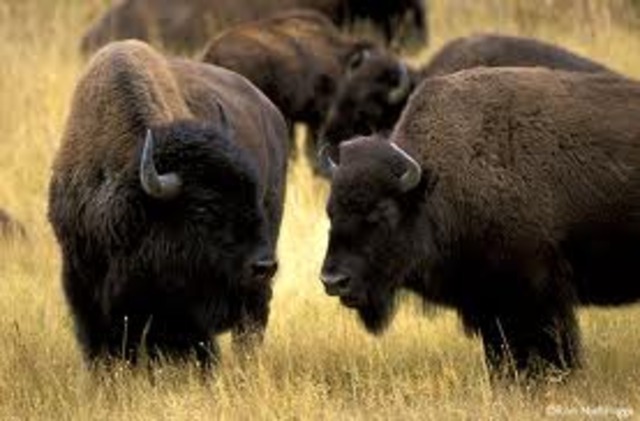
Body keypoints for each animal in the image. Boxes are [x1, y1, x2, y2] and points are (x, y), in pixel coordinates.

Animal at [320, 67, 640, 380]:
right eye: (330, 212)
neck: (433, 185)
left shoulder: (537, 296)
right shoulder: (487, 304)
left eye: (381, 213)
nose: (333, 281)